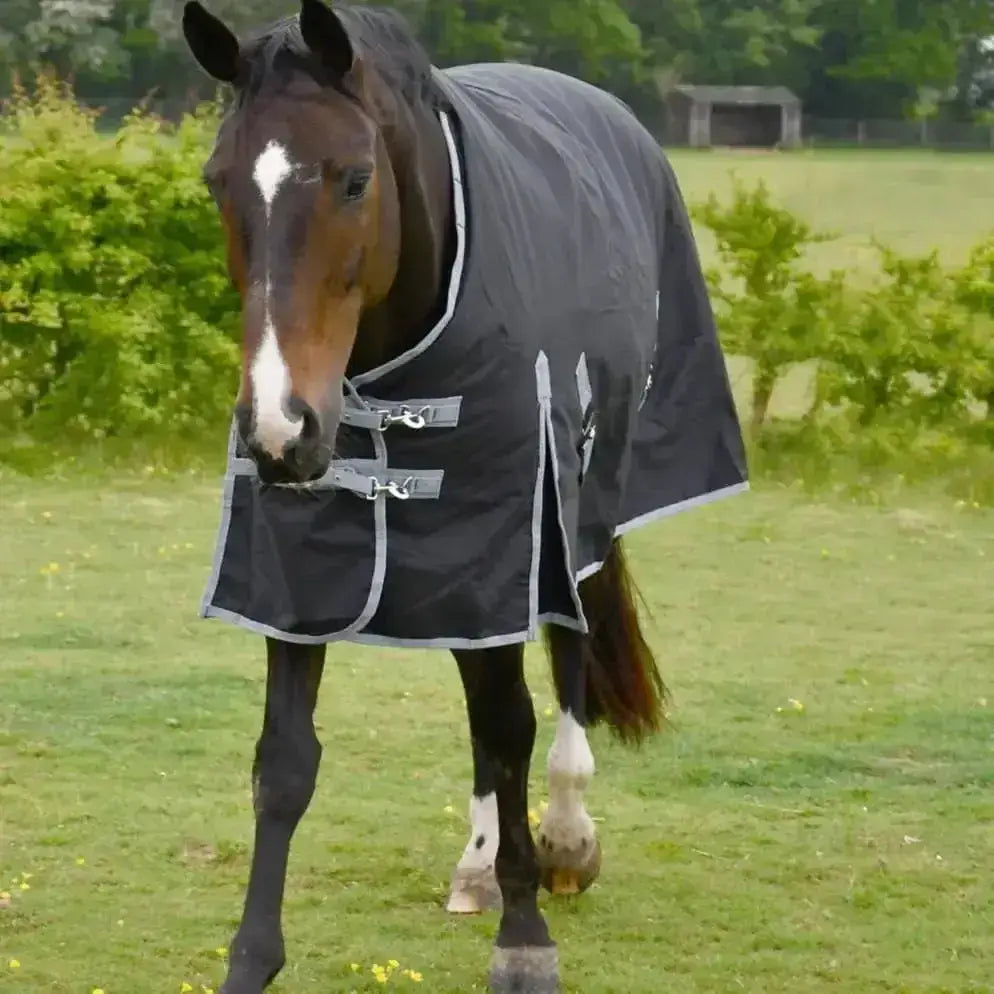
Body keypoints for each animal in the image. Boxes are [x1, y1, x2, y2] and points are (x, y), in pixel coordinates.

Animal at [182, 2, 748, 991]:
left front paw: (526, 939)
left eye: (355, 178)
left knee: (560, 669)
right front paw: (252, 957)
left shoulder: (512, 535)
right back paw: (484, 862)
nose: (280, 429)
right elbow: (285, 760)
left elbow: (511, 723)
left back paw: (564, 838)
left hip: (571, 515)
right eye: (220, 182)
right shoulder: (302, 574)